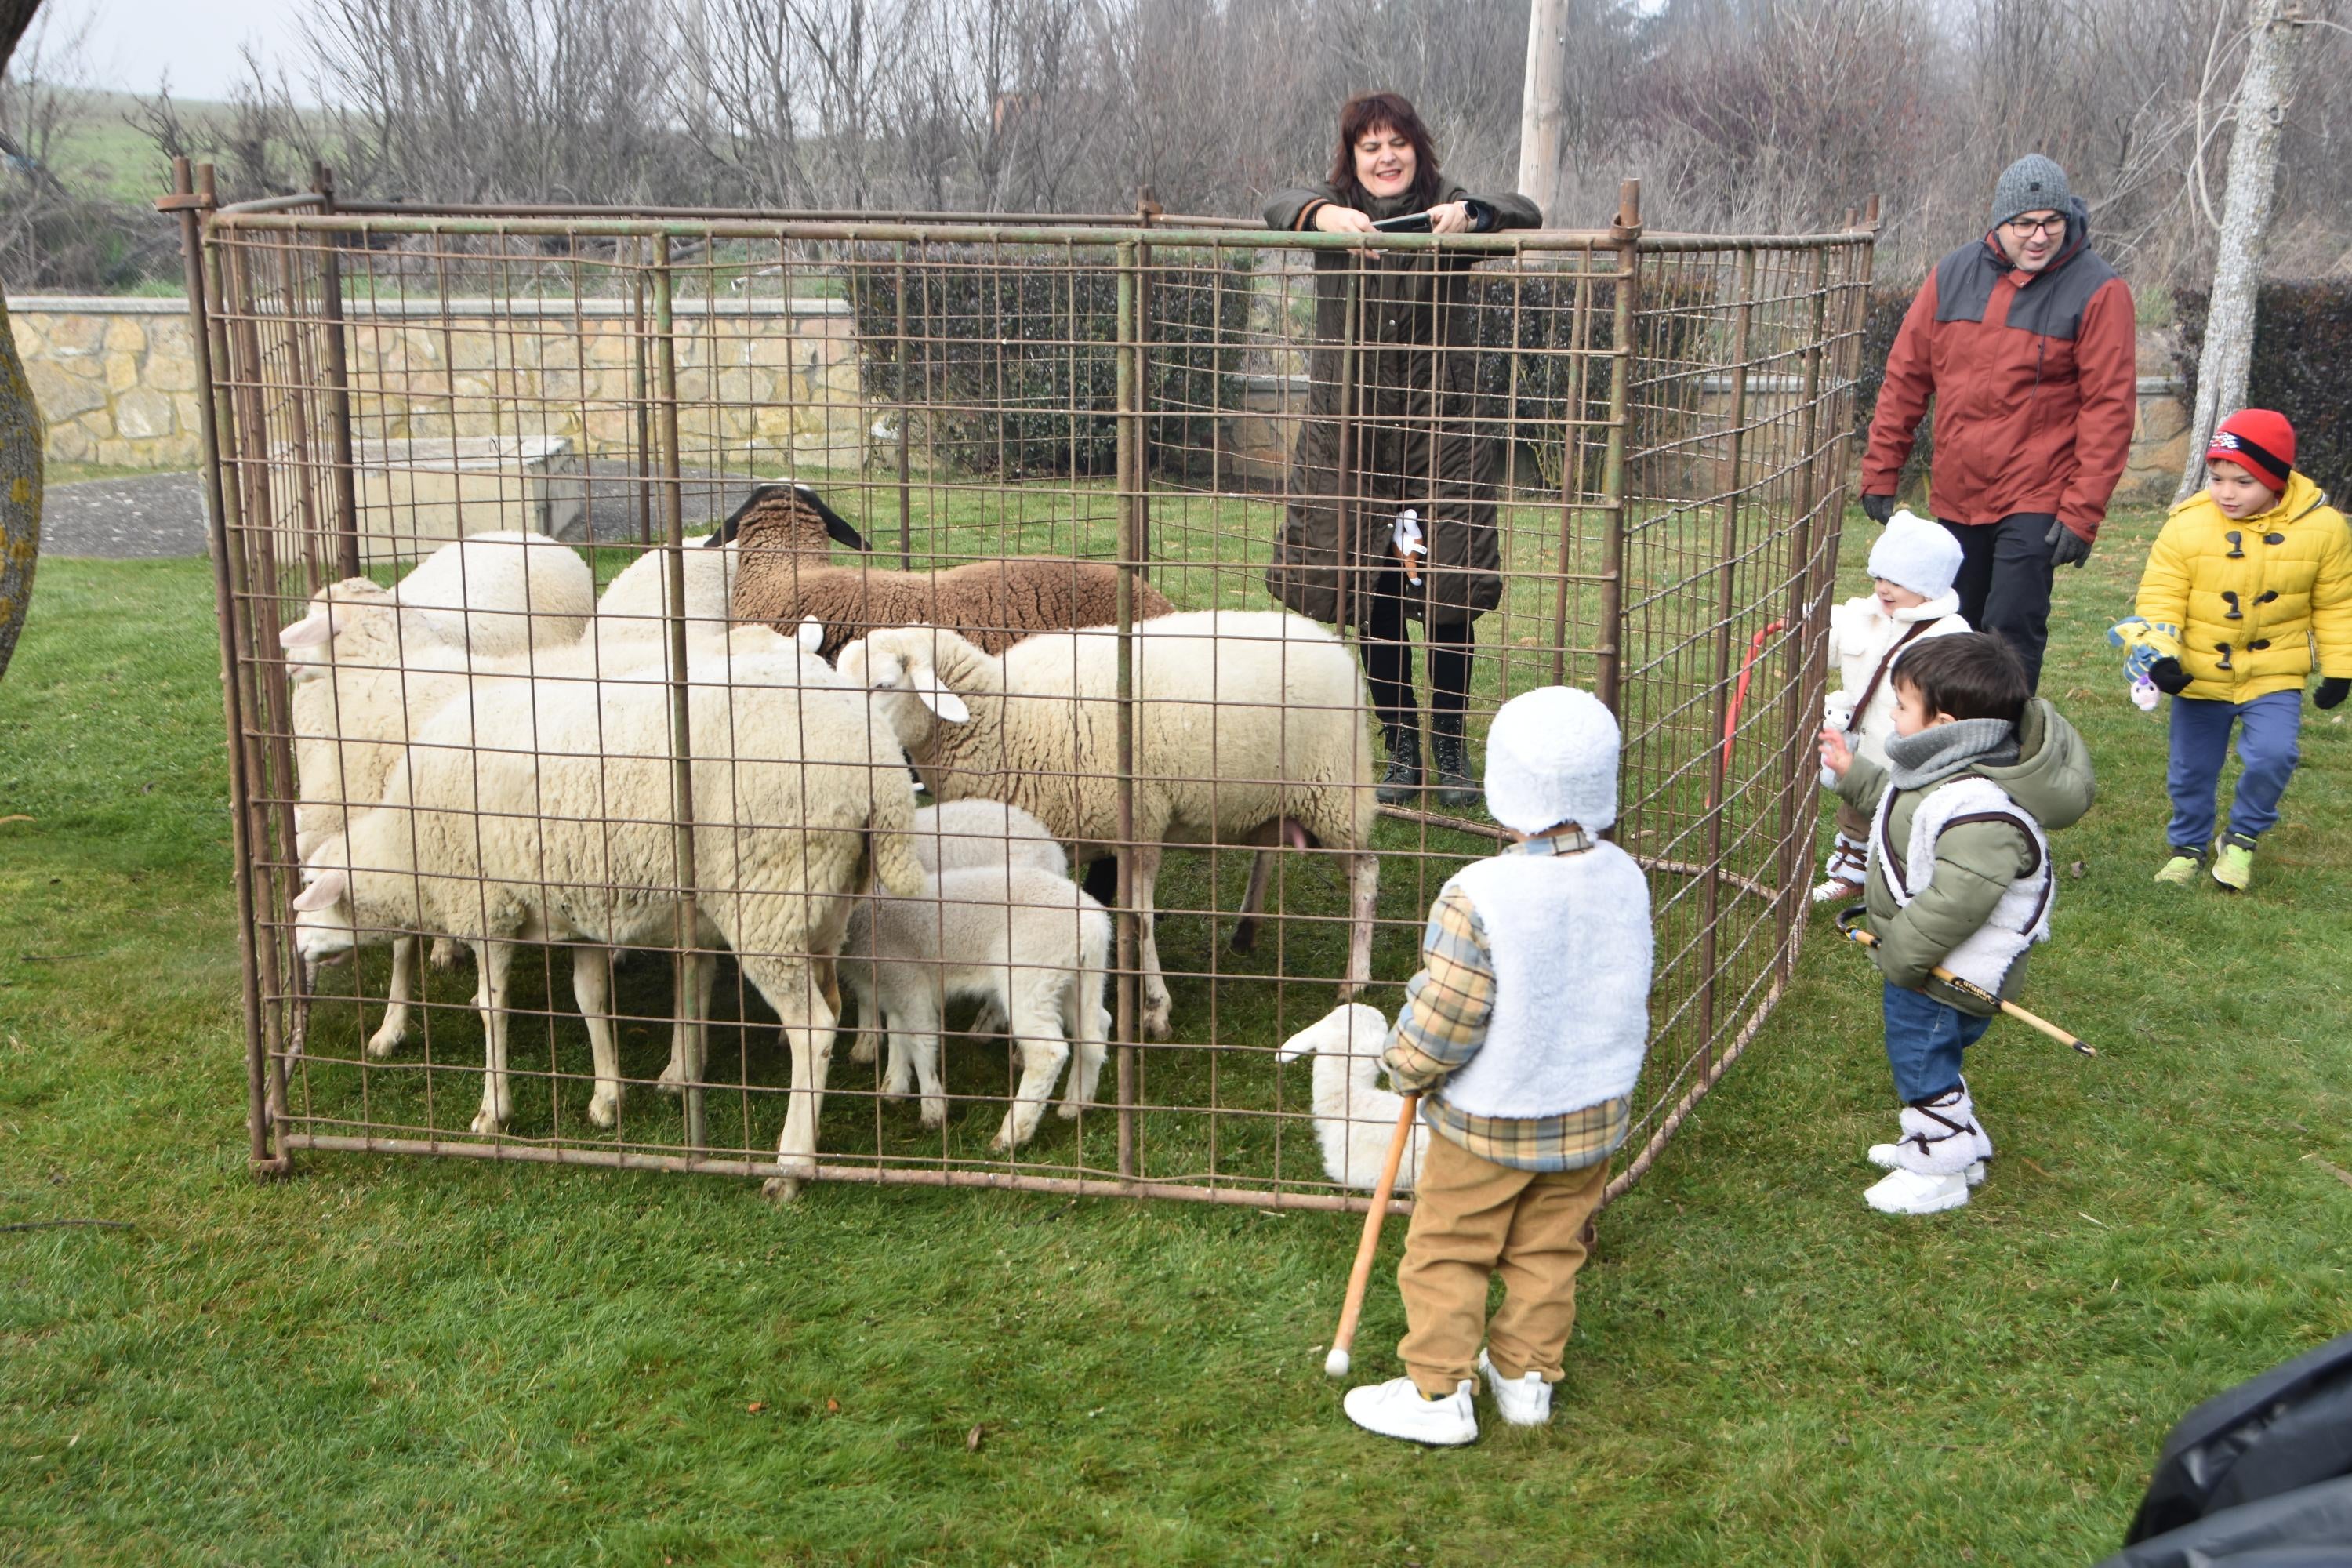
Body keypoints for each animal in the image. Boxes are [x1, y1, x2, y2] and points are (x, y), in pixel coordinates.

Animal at [292, 639, 917, 1203]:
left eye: (312, 894)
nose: (297, 953)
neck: (408, 846)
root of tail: (878, 768)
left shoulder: (488, 907)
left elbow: (494, 1010)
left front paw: (493, 1110)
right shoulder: (582, 911)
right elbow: (589, 1000)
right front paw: (607, 1097)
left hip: (766, 897)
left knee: (812, 1027)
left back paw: (791, 1165)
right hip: (822, 905)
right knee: (830, 1005)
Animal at [837, 611, 1374, 1044]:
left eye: (883, 685)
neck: (1007, 718)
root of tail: (1324, 639)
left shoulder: (1140, 823)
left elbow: (1141, 917)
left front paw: (1155, 1008)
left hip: (1333, 794)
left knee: (1365, 875)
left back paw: (1355, 977)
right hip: (1274, 797)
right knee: (1270, 850)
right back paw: (1246, 928)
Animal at [837, 865, 1110, 1147]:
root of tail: (1093, 925)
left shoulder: (909, 981)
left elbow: (920, 1039)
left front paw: (932, 1109)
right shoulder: (892, 986)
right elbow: (897, 1032)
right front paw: (893, 1087)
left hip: (1031, 974)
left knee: (1047, 1051)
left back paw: (1012, 1132)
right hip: (1070, 981)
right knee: (1096, 1028)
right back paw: (1075, 1104)